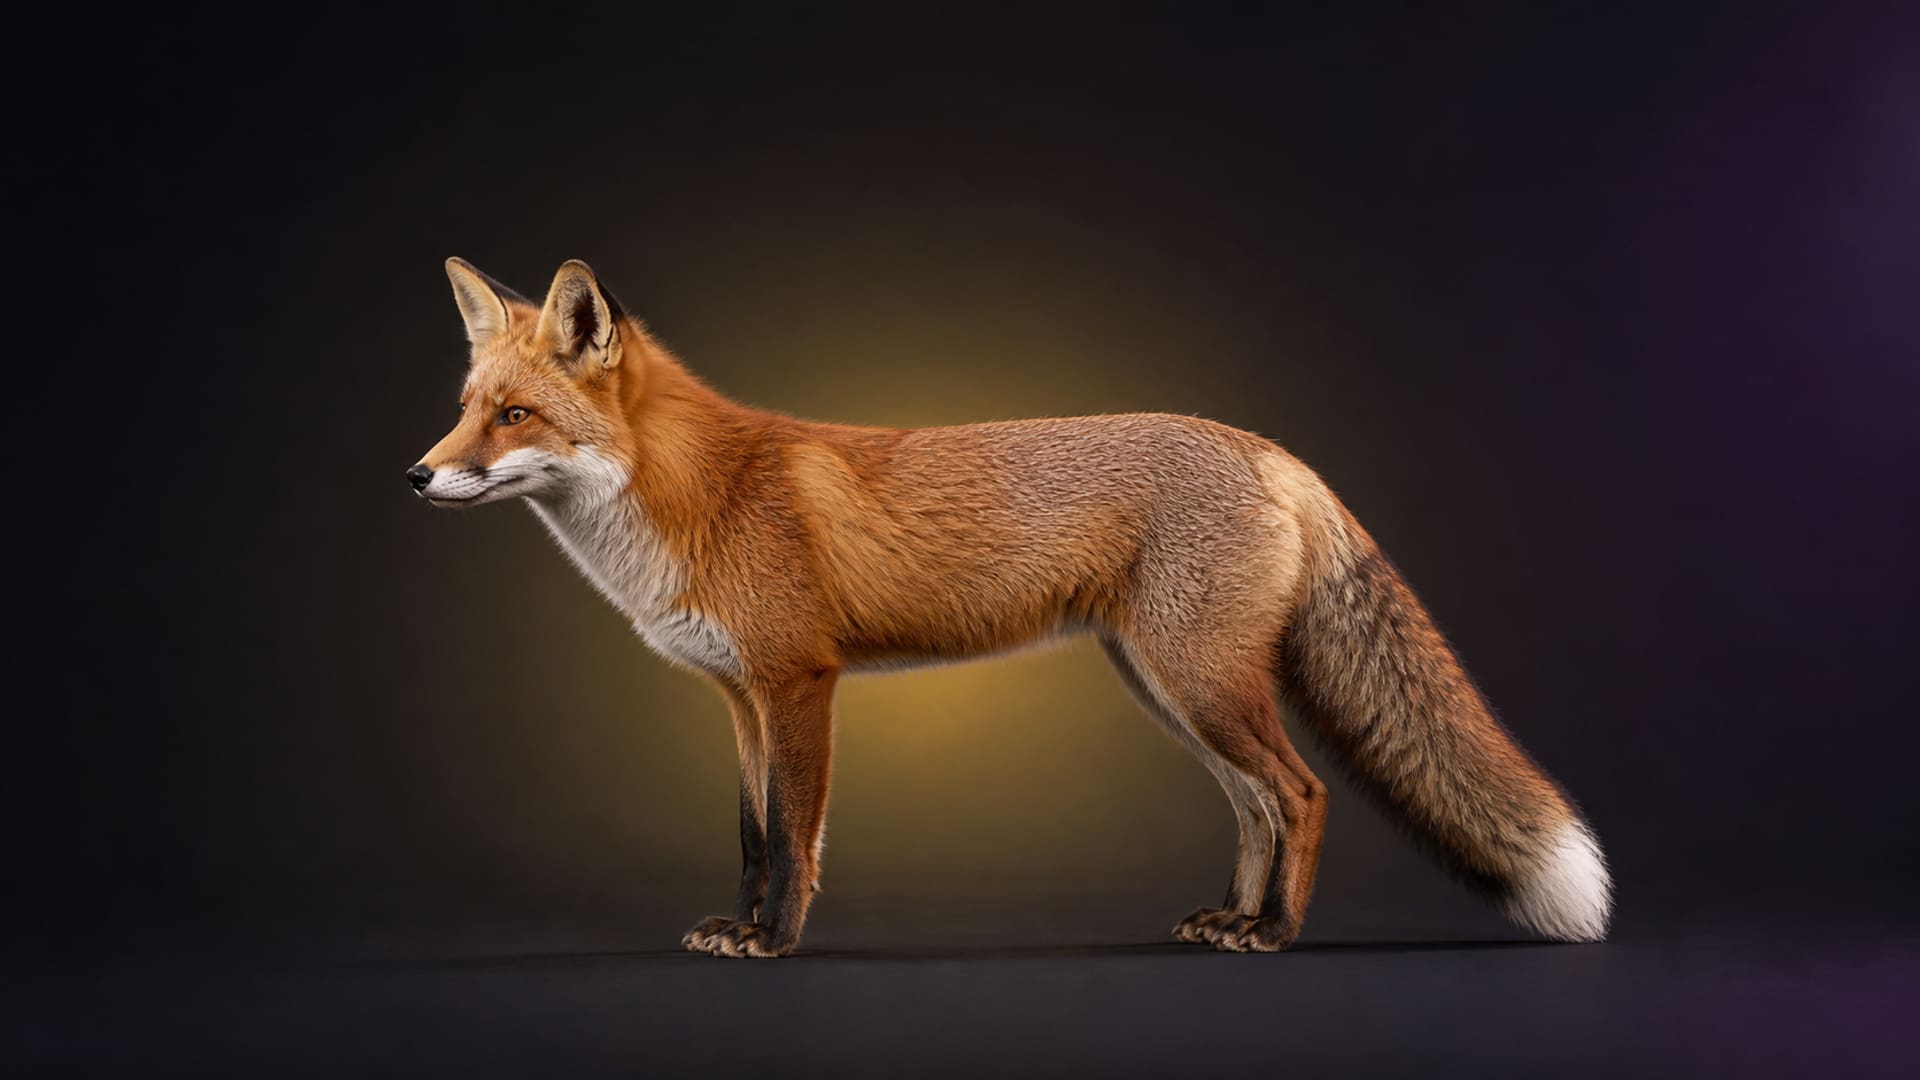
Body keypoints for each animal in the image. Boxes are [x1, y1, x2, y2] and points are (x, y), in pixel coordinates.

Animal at [407, 257, 1612, 958]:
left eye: (515, 417)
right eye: (464, 409)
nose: (416, 478)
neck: (692, 498)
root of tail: (1274, 451)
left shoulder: (800, 685)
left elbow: (795, 837)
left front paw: (777, 941)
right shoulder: (739, 699)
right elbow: (751, 835)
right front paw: (739, 926)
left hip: (1202, 686)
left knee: (1303, 795)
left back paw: (1273, 933)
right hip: (1169, 689)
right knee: (1255, 807)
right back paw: (1232, 916)